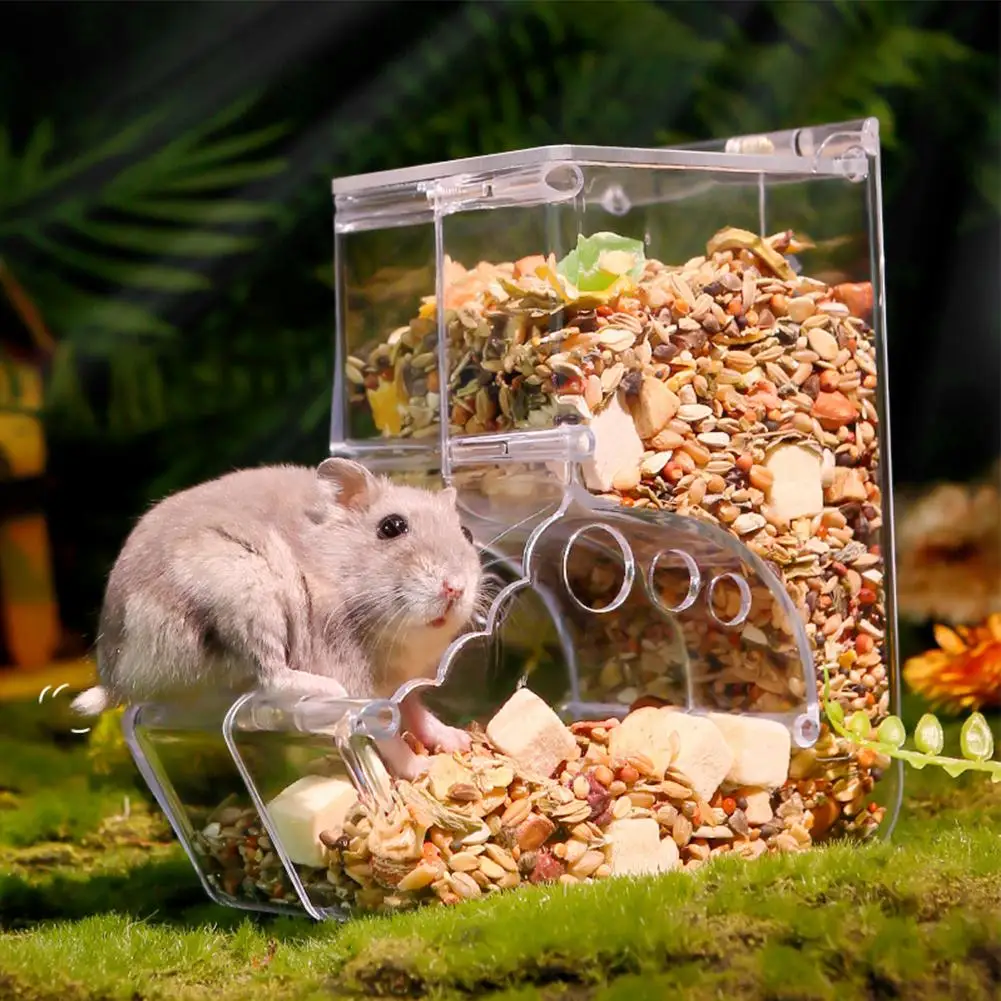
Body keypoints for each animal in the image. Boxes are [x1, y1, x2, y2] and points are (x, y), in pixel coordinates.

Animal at [71, 458, 483, 775]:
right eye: (392, 527)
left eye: (467, 533)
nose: (455, 588)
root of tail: (114, 679)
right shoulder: (362, 688)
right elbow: (388, 734)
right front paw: (422, 769)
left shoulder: (400, 683)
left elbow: (416, 710)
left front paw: (459, 740)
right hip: (248, 596)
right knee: (272, 674)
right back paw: (327, 690)